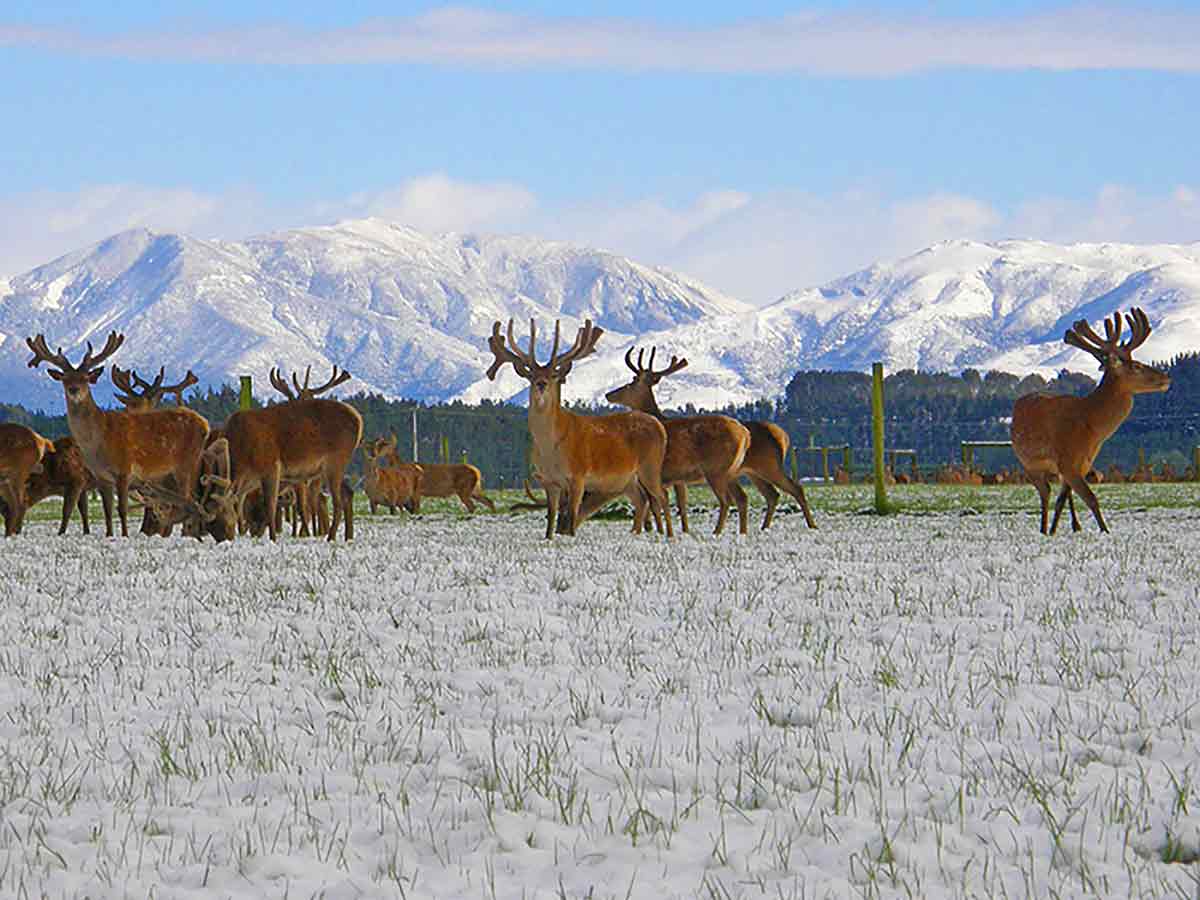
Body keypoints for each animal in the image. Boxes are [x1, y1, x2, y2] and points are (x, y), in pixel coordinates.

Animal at [25, 336, 210, 540]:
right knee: (190, 501)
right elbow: (107, 510)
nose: (74, 390)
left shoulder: (124, 469)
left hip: (186, 463)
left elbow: (121, 509)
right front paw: (109, 535)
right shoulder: (101, 477)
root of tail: (205, 424)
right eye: (65, 379)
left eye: (86, 378)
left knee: (189, 500)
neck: (98, 442)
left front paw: (125, 535)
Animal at [220, 362, 360, 540]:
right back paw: (347, 536)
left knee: (337, 502)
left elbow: (271, 506)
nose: (224, 537)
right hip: (330, 468)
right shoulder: (252, 479)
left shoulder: (272, 466)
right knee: (346, 493)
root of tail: (358, 419)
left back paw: (330, 536)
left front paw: (273, 538)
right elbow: (241, 505)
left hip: (336, 460)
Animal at [600, 348, 748, 535]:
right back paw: (742, 532)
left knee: (726, 500)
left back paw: (716, 532)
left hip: (717, 469)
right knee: (742, 497)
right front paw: (679, 530)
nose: (608, 394)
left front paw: (658, 531)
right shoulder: (677, 479)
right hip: (732, 470)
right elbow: (679, 505)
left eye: (632, 382)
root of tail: (745, 433)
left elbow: (655, 506)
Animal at [1012, 309, 1171, 535]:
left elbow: (1064, 500)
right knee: (1045, 492)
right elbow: (1091, 498)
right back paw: (1043, 528)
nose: (1166, 378)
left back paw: (1065, 527)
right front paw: (1105, 531)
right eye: (1137, 366)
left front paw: (1056, 530)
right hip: (1027, 462)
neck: (1091, 427)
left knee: (1058, 495)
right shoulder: (1068, 462)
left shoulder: (1082, 465)